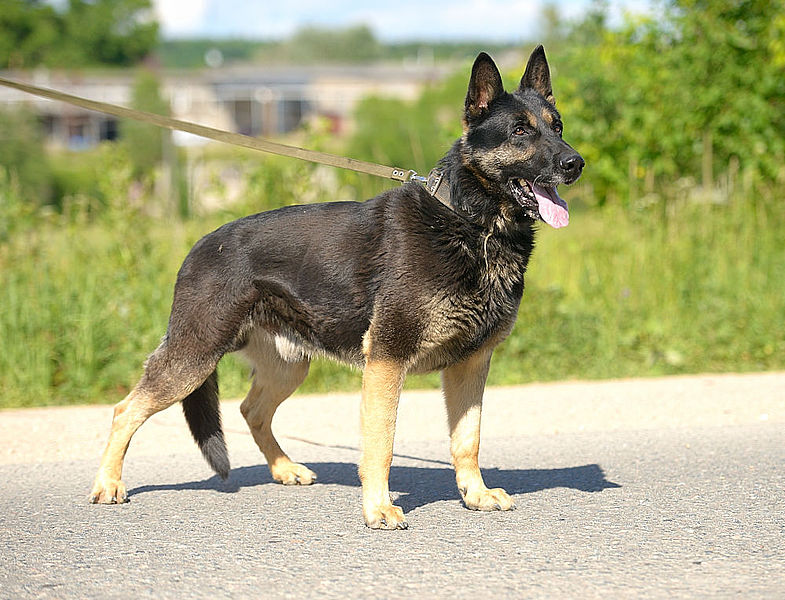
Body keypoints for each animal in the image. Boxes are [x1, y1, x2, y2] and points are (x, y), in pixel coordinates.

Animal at [90, 47, 580, 532]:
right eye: (520, 131)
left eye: (556, 127)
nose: (574, 163)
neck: (473, 223)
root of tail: (198, 247)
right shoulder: (386, 362)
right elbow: (382, 441)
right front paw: (378, 508)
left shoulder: (472, 364)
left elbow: (468, 439)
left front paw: (475, 494)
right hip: (193, 358)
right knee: (125, 409)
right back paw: (108, 484)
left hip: (288, 366)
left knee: (251, 410)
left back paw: (285, 468)